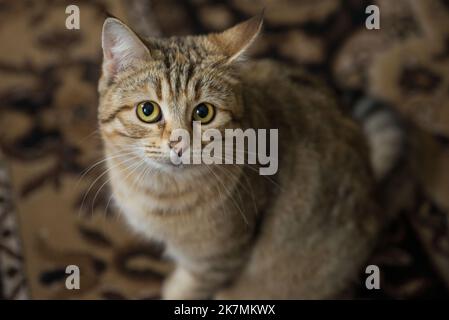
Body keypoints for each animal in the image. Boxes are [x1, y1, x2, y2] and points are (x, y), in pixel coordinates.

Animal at [96, 13, 400, 298]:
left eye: (203, 112)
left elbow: (186, 288)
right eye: (147, 110)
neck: (155, 189)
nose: (179, 145)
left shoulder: (216, 260)